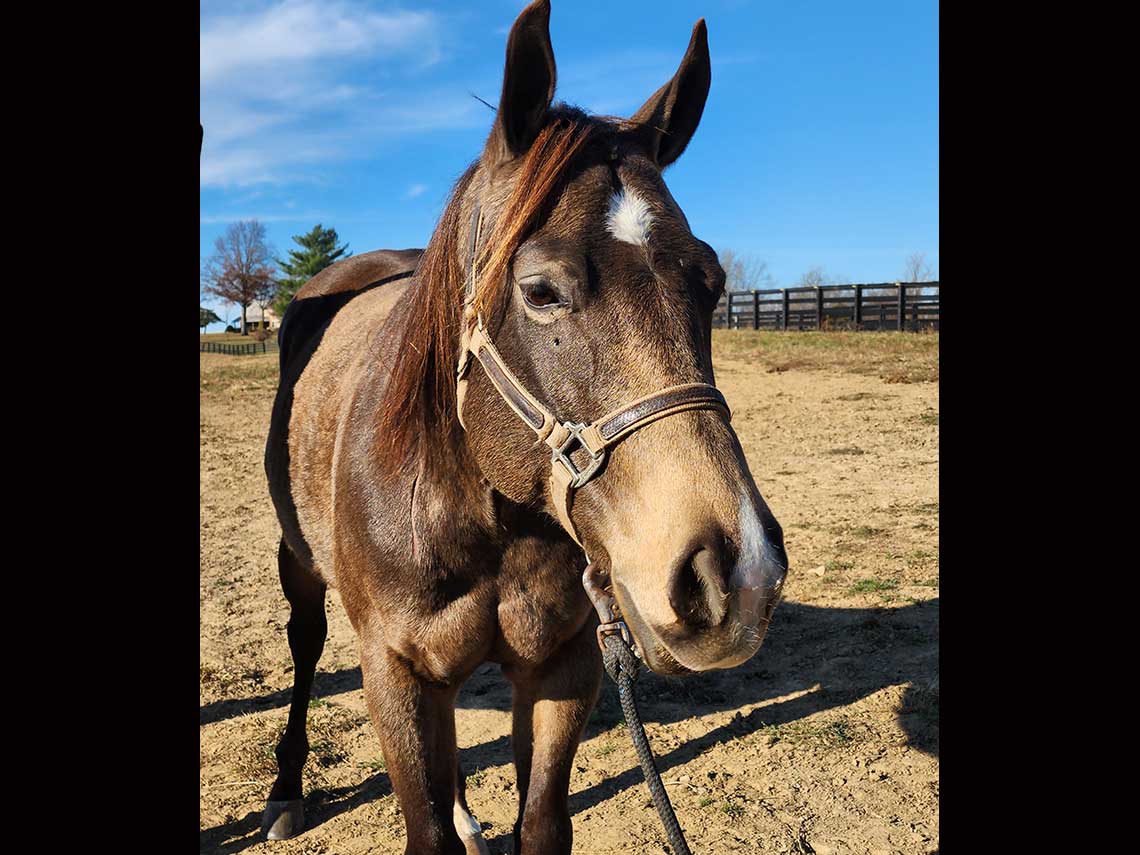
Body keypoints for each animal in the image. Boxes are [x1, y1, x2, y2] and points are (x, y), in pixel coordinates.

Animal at [261, 3, 788, 852]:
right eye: (541, 290)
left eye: (711, 281)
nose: (734, 574)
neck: (483, 513)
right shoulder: (394, 672)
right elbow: (425, 827)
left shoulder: (563, 666)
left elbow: (539, 820)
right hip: (299, 562)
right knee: (305, 646)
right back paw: (285, 790)